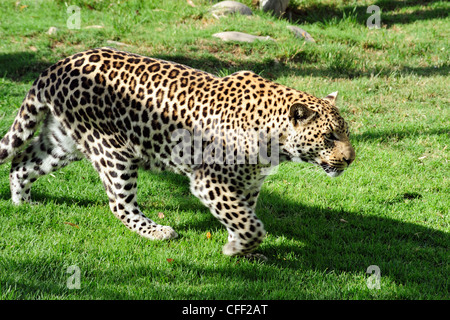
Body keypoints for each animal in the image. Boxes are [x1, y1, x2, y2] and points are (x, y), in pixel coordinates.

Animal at [0, 46, 356, 258]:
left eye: (346, 132)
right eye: (329, 135)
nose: (351, 159)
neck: (276, 141)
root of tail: (57, 66)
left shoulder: (248, 184)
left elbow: (244, 217)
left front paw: (243, 249)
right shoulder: (210, 181)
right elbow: (250, 224)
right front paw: (236, 248)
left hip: (63, 142)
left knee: (21, 163)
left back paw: (22, 204)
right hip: (113, 150)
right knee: (119, 204)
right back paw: (157, 231)